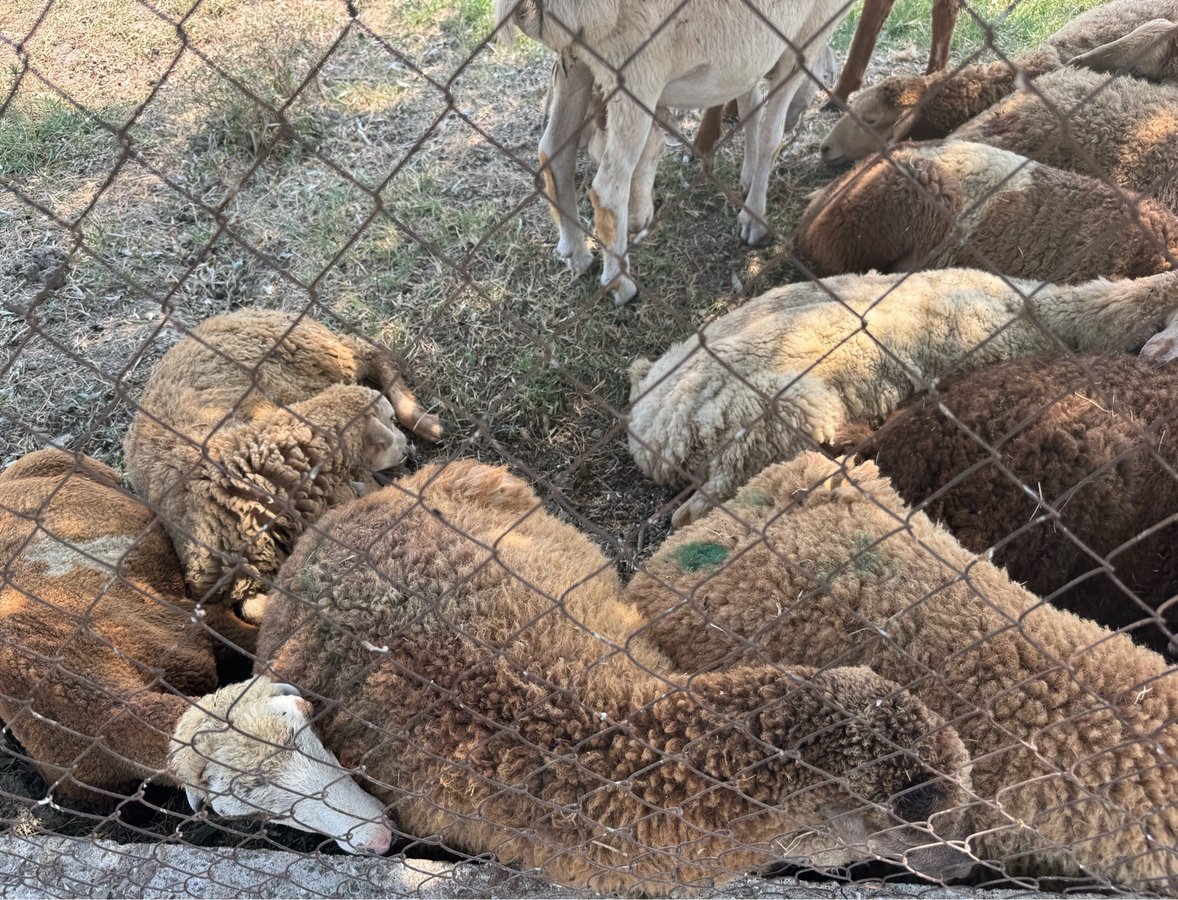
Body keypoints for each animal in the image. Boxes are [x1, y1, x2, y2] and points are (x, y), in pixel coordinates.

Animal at [123, 309, 442, 638]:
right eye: (387, 422)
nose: (408, 451)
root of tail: (242, 313)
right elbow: (256, 609)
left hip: (329, 356)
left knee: (372, 350)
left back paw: (425, 423)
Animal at [497, 0, 857, 302]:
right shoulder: (806, 35)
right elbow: (771, 133)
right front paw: (754, 220)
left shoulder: (752, 57)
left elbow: (749, 106)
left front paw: (747, 179)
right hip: (636, 67)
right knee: (608, 188)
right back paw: (619, 283)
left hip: (575, 61)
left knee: (554, 152)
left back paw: (576, 252)